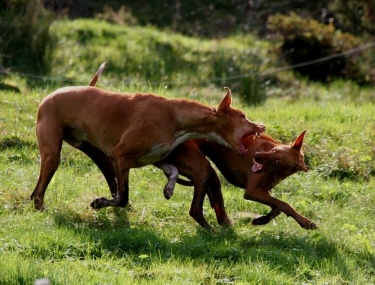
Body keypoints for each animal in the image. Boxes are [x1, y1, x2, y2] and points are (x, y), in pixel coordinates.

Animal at [30, 64, 266, 211]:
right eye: (243, 116)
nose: (261, 125)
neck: (175, 117)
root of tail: (52, 94)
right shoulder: (121, 156)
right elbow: (123, 197)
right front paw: (100, 203)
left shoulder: (154, 158)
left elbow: (172, 171)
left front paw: (169, 188)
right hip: (53, 155)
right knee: (38, 191)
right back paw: (40, 207)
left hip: (99, 157)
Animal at [158, 130, 318, 230]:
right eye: (273, 150)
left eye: (277, 161)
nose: (256, 156)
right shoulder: (253, 191)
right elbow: (284, 204)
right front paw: (306, 222)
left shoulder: (264, 191)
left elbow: (278, 208)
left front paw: (261, 220)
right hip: (201, 169)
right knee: (196, 210)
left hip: (209, 176)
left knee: (215, 200)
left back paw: (225, 225)